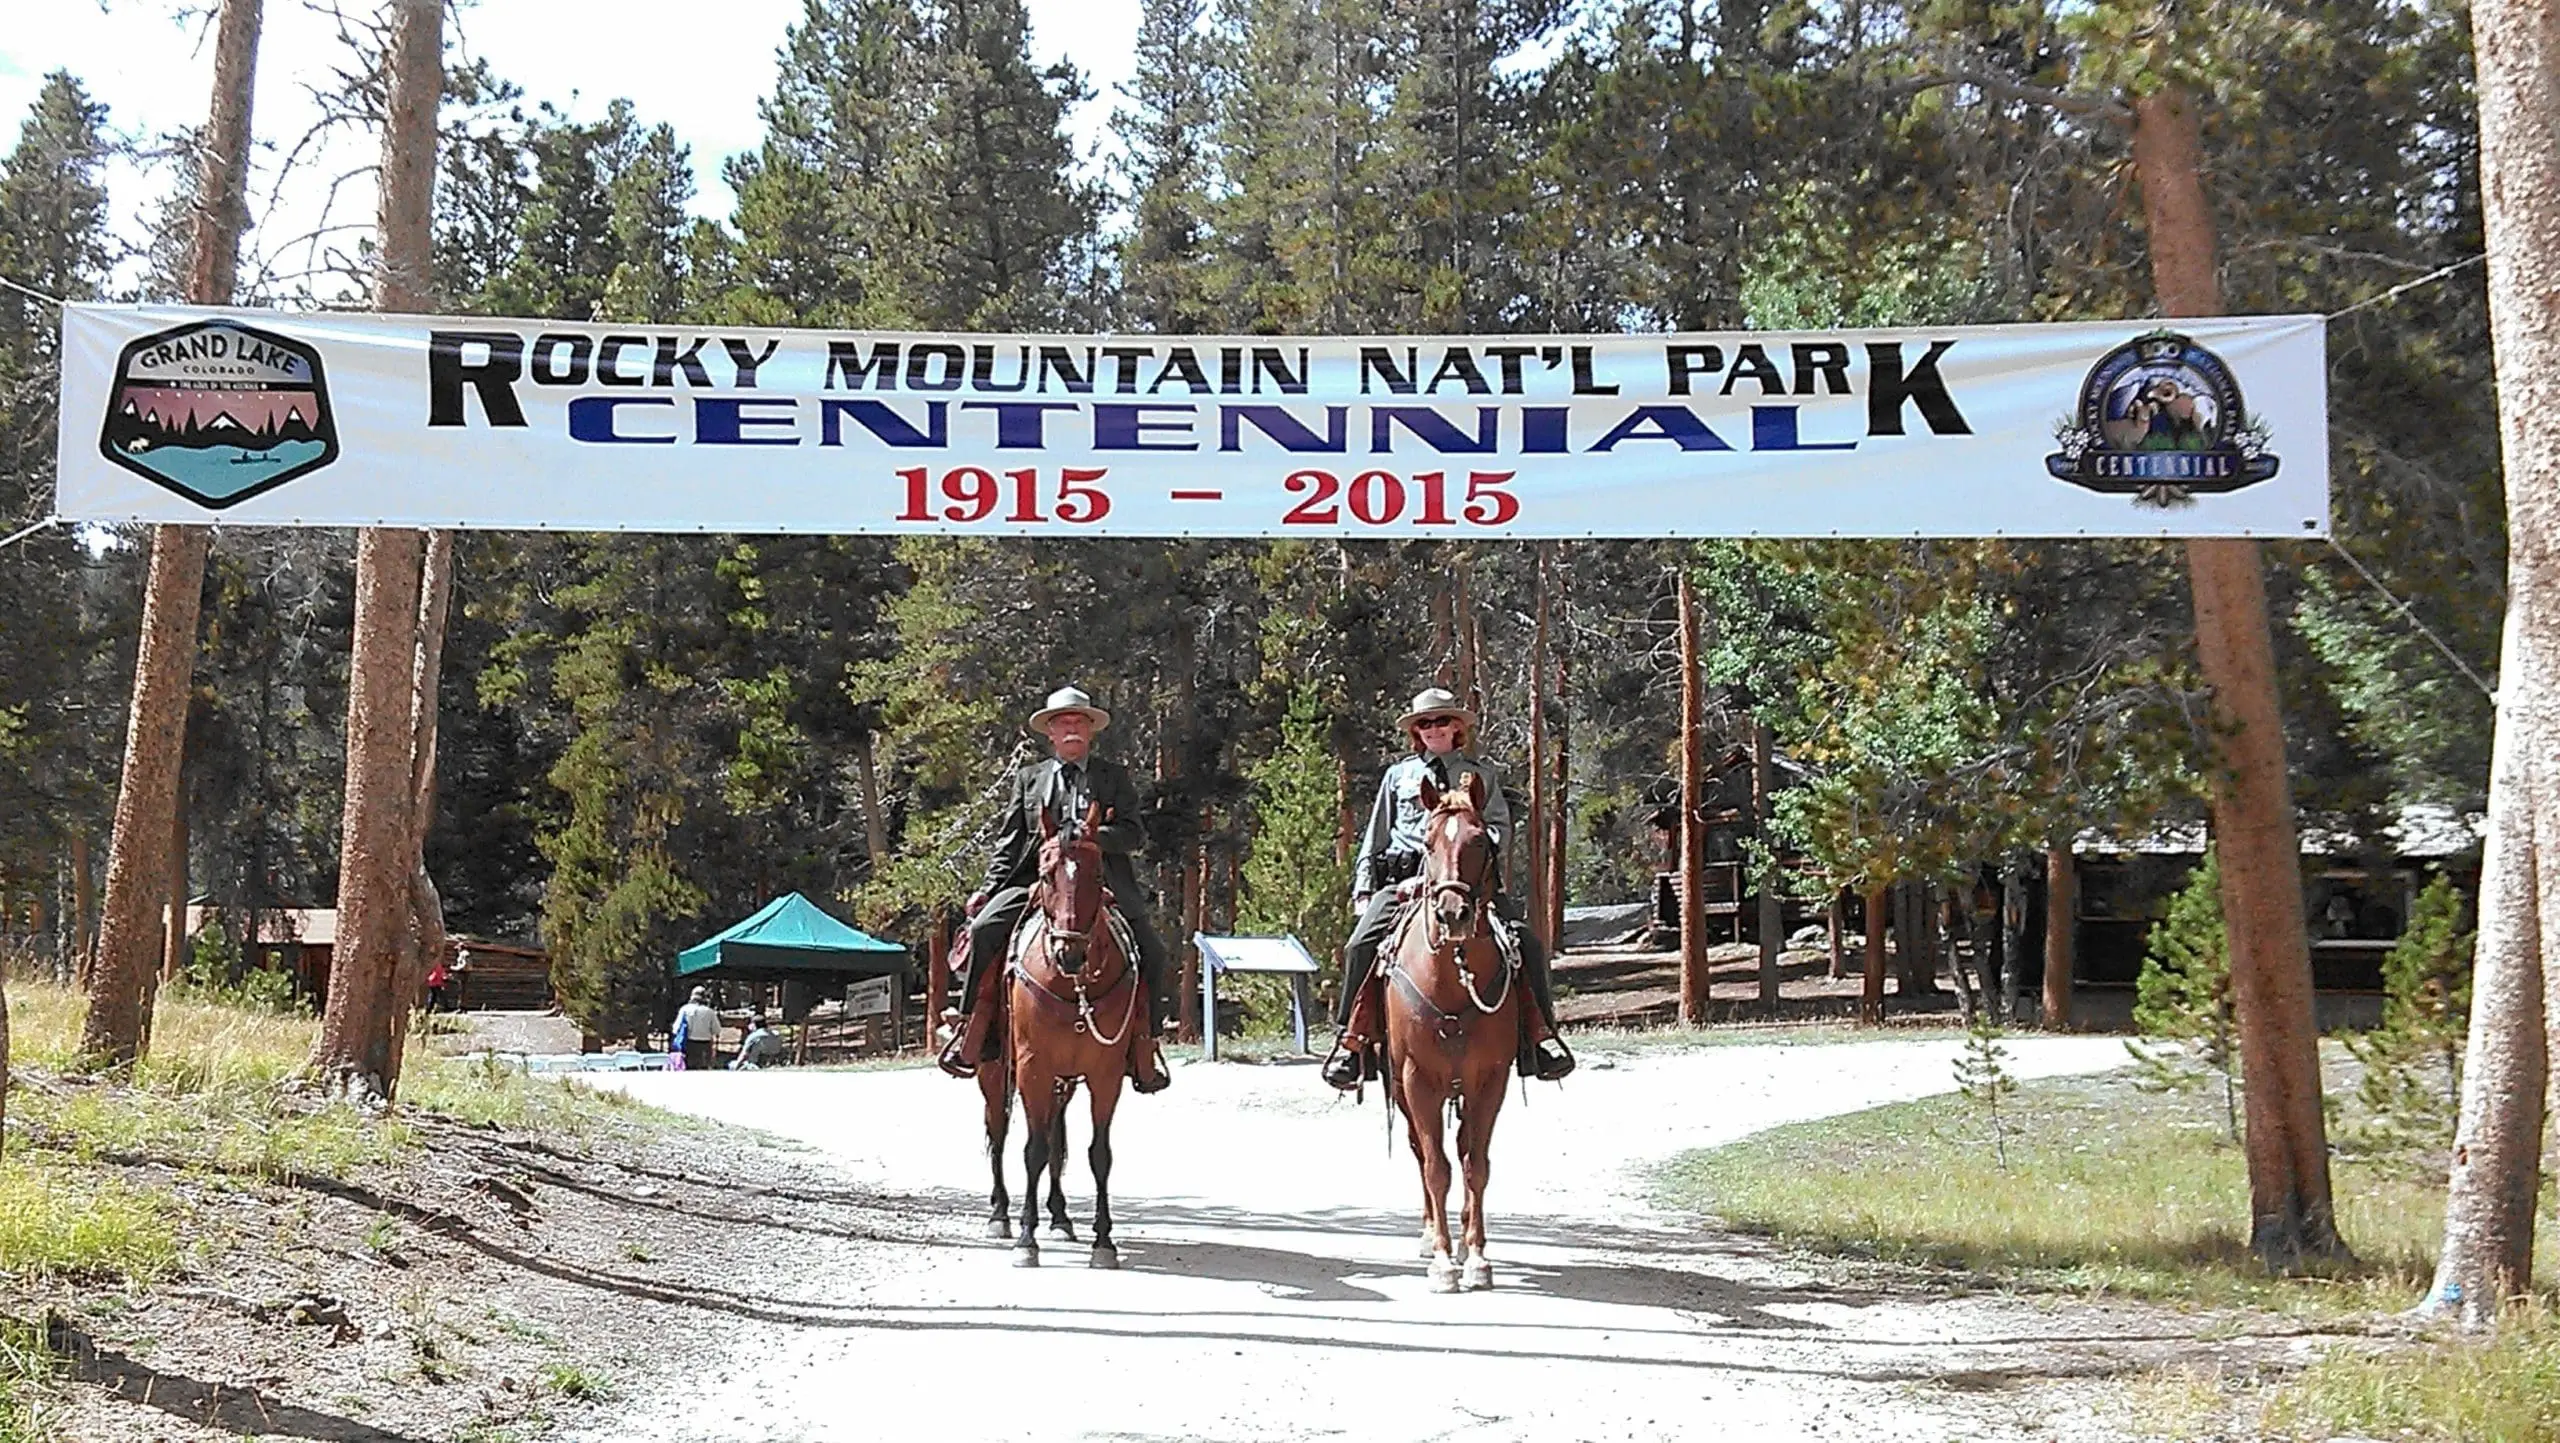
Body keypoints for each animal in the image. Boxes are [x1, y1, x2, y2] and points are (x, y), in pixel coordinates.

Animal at [993, 798, 1136, 1263]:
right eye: (1044, 874)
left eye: (1097, 876)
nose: (1068, 952)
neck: (1073, 987)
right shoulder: (1033, 1067)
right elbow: (1033, 1149)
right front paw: (1026, 1238)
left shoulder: (1105, 1073)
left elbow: (1098, 1153)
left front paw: (1103, 1241)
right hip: (994, 1071)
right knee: (998, 1134)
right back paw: (999, 1213)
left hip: (1065, 1082)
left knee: (1057, 1139)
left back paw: (1059, 1216)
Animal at [1382, 772, 1515, 1289]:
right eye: (1428, 842)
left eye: (1480, 840)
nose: (1453, 913)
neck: (1454, 981)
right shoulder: (1418, 1079)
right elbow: (1435, 1167)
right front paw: (1441, 1260)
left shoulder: (1491, 1080)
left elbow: (1476, 1165)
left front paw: (1475, 1255)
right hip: (1400, 1087)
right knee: (1423, 1153)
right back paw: (1429, 1235)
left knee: (1462, 1151)